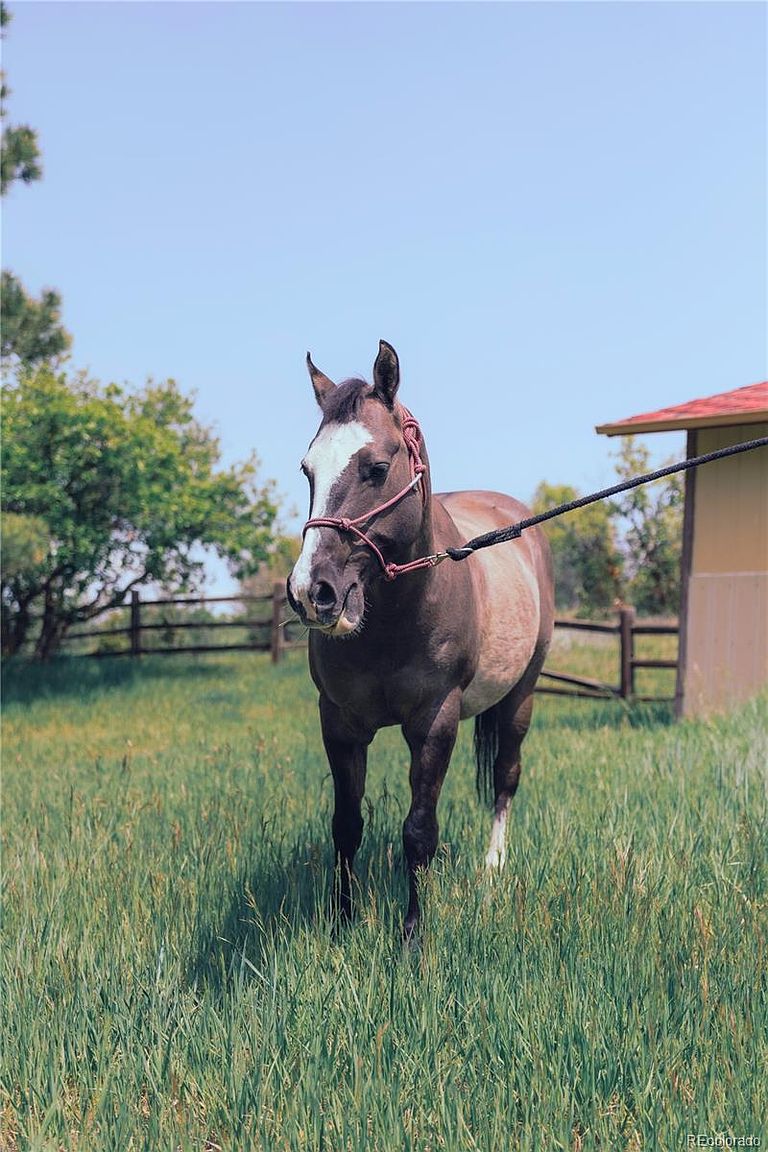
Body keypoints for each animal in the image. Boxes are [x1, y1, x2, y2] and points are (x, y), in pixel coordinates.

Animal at [286, 340, 554, 938]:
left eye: (377, 468)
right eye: (308, 469)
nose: (311, 592)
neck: (394, 623)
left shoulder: (434, 721)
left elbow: (418, 831)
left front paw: (412, 934)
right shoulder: (338, 723)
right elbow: (346, 825)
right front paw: (342, 922)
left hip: (521, 696)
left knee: (505, 777)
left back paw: (492, 866)